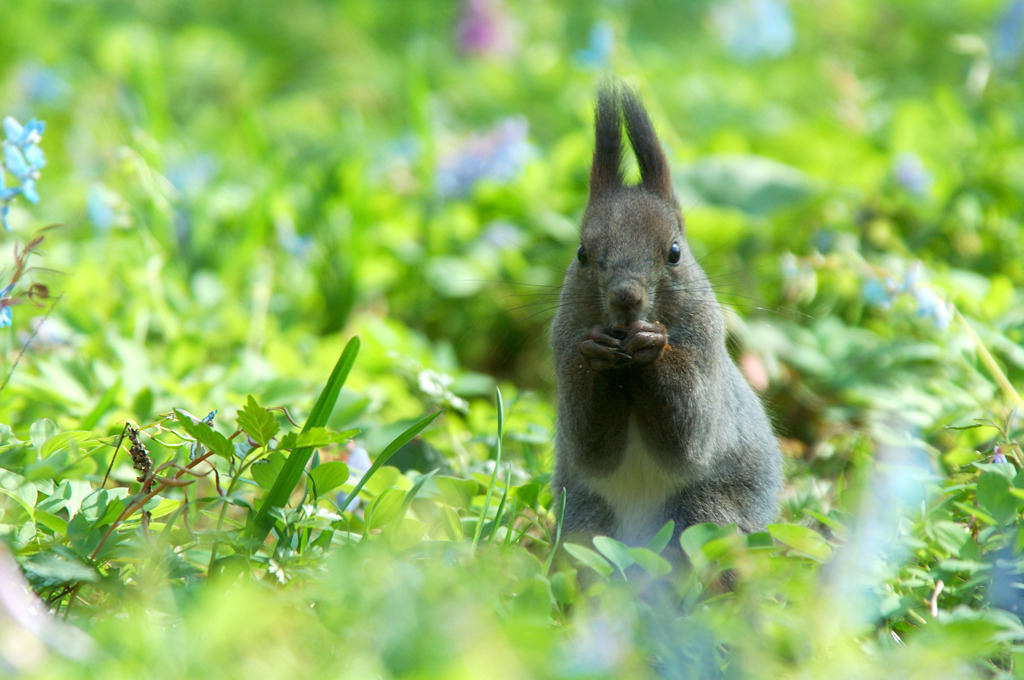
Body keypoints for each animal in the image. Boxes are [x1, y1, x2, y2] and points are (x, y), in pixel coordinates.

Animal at [552, 86, 782, 553]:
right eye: (582, 252)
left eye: (675, 251)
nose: (626, 297)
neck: (627, 371)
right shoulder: (562, 350)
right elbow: (589, 446)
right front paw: (596, 351)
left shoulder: (706, 349)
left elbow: (688, 437)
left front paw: (652, 343)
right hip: (583, 524)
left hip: (707, 513)